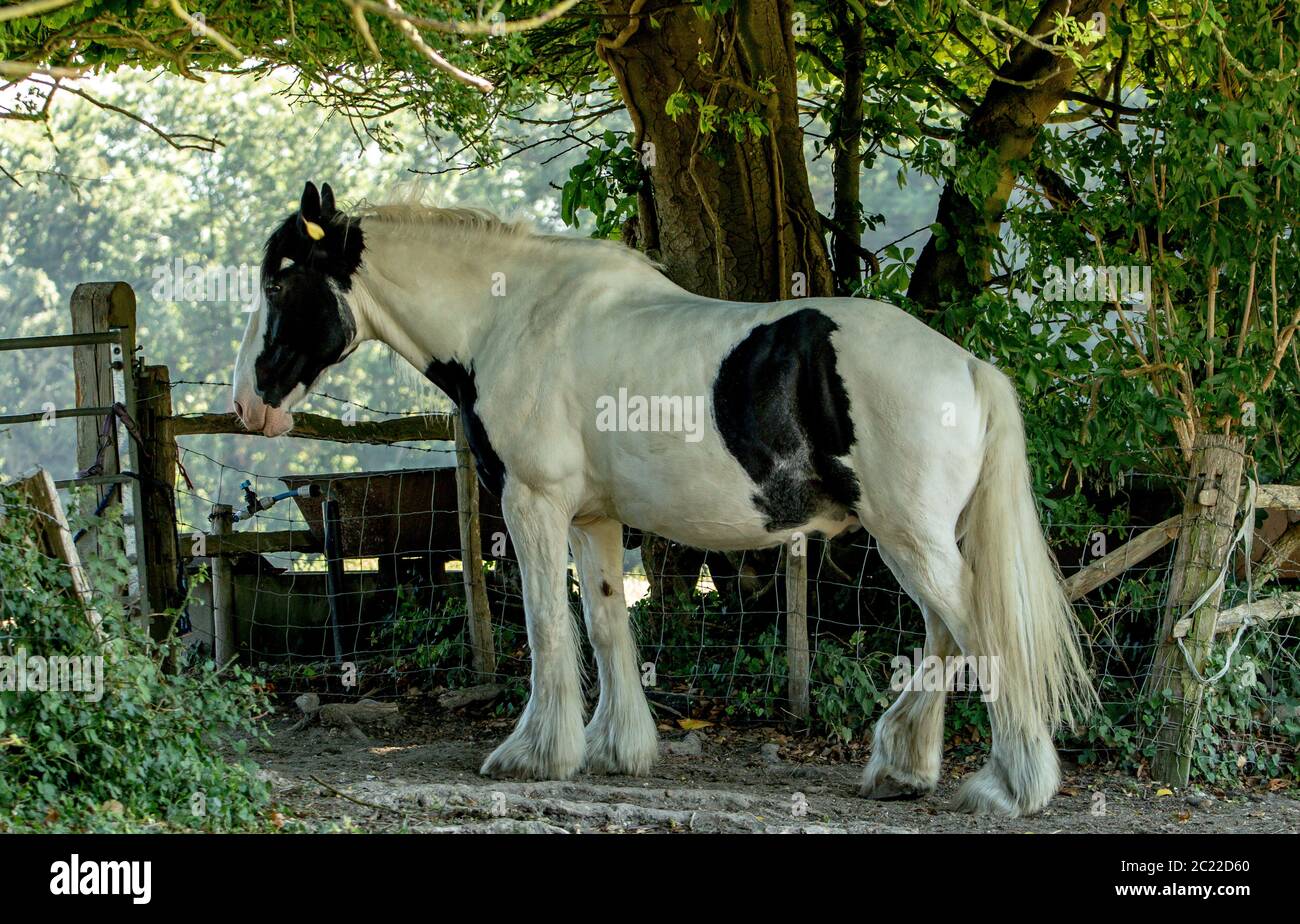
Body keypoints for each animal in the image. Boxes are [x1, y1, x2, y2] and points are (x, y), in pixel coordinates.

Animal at [232, 181, 1097, 816]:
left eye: (279, 279)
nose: (248, 405)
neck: (513, 316)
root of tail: (967, 368)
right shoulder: (593, 519)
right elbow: (606, 622)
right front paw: (615, 750)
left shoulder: (533, 506)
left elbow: (548, 629)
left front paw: (534, 753)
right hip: (916, 539)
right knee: (948, 635)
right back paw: (903, 765)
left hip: (908, 537)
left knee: (980, 633)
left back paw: (1012, 788)